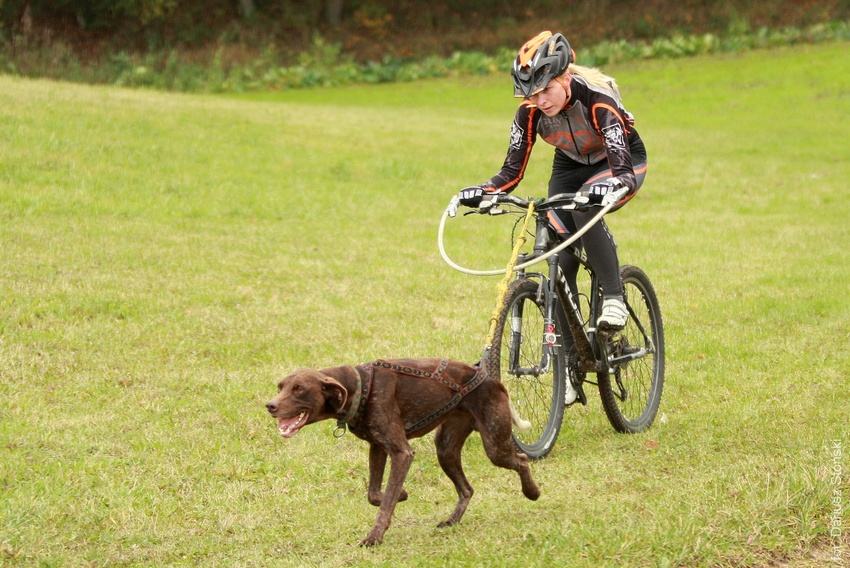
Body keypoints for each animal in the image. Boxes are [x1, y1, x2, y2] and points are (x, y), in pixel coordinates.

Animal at [264, 358, 540, 548]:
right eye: (280, 387)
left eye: (299, 388)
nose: (270, 405)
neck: (360, 387)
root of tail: (494, 381)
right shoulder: (378, 447)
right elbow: (375, 494)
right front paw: (402, 494)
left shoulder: (401, 453)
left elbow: (385, 503)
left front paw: (374, 537)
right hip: (446, 449)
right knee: (467, 489)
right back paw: (452, 521)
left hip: (494, 446)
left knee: (522, 460)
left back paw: (532, 492)